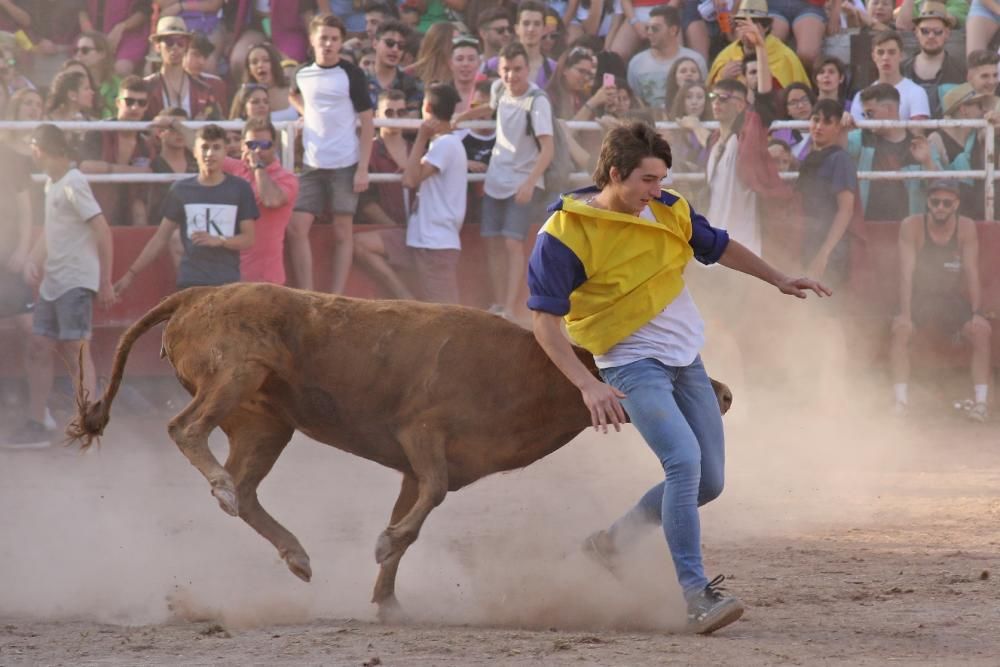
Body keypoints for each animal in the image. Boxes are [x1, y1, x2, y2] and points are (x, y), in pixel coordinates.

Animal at [68, 284, 728, 620]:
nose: (720, 393)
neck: (528, 371)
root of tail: (197, 293)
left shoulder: (418, 465)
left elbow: (414, 518)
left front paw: (387, 602)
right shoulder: (423, 437)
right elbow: (419, 509)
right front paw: (384, 557)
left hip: (264, 424)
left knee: (248, 489)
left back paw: (296, 555)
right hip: (235, 373)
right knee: (186, 431)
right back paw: (226, 491)